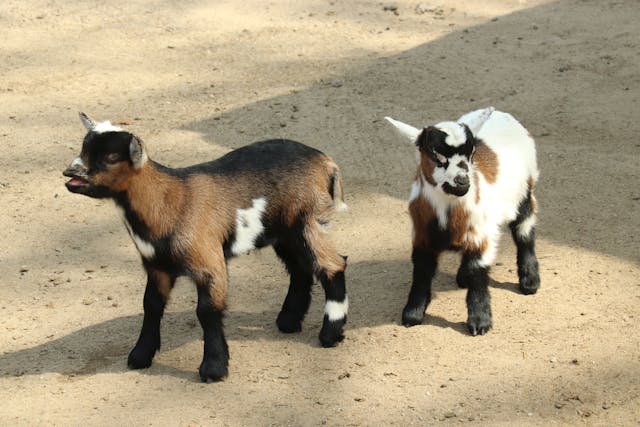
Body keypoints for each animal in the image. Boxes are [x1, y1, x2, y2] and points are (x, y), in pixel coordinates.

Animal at [63, 113, 349, 382]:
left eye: (111, 156)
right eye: (84, 147)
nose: (70, 173)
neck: (169, 201)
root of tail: (325, 161)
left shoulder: (208, 260)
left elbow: (207, 311)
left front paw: (214, 369)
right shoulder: (157, 266)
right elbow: (151, 305)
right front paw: (140, 356)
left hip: (308, 220)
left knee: (333, 265)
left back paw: (330, 334)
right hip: (284, 232)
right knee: (300, 269)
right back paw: (288, 321)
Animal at [385, 107, 540, 335]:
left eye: (471, 153)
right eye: (435, 154)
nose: (462, 180)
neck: (448, 213)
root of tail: (503, 115)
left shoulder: (481, 235)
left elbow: (478, 272)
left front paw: (479, 322)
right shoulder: (422, 236)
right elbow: (421, 271)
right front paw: (412, 314)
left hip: (524, 193)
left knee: (524, 232)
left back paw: (530, 281)